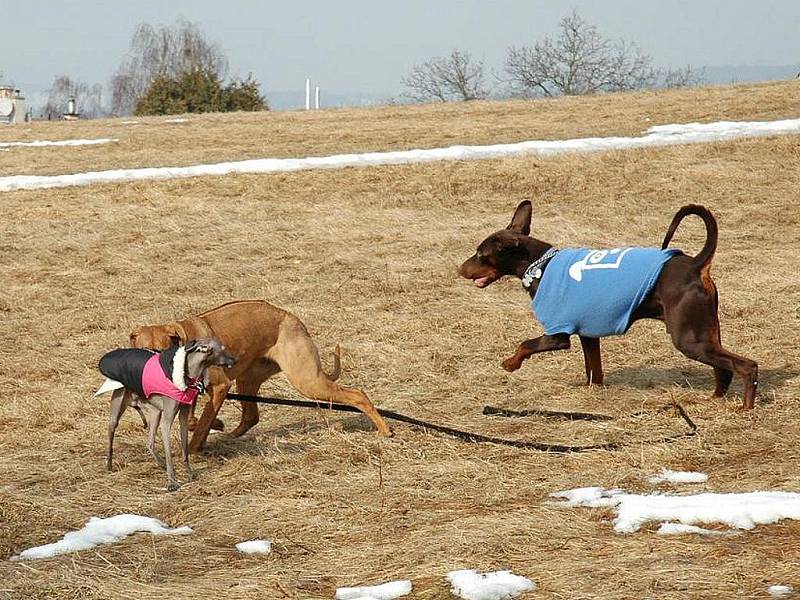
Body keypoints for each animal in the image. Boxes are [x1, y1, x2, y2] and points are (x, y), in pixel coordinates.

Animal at [130, 300, 392, 450]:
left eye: (162, 351)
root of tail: (293, 319)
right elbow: (198, 420)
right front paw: (216, 425)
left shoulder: (221, 386)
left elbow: (201, 424)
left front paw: (196, 448)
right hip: (248, 379)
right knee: (251, 416)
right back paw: (230, 435)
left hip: (307, 380)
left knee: (358, 395)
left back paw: (385, 430)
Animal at [460, 200, 760, 408]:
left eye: (481, 254)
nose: (459, 269)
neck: (540, 266)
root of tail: (696, 264)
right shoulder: (588, 334)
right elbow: (594, 370)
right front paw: (592, 392)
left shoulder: (557, 334)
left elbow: (526, 344)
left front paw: (510, 364)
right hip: (706, 332)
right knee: (724, 368)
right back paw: (716, 398)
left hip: (688, 338)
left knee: (747, 366)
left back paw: (744, 408)